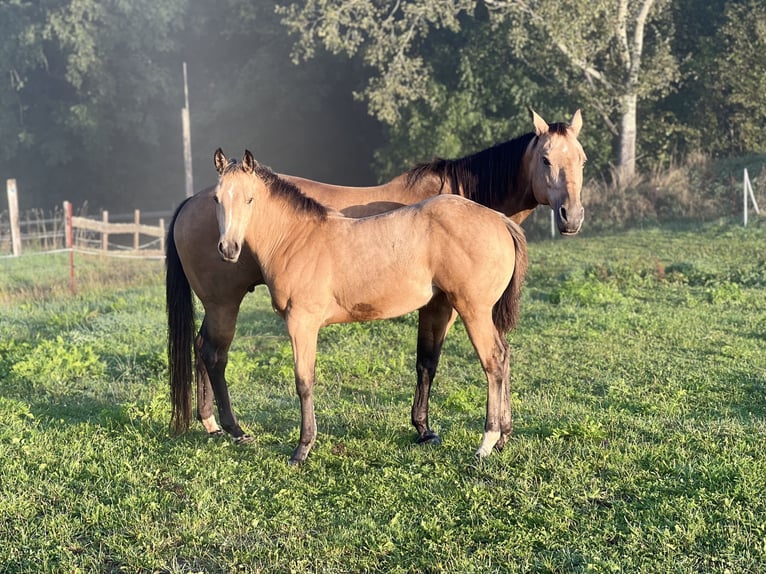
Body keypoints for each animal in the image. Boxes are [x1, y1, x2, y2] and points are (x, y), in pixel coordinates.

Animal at [170, 109, 588, 450]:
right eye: (546, 159)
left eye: (581, 159)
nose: (571, 217)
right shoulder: (436, 307)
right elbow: (424, 363)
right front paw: (424, 428)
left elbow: (423, 363)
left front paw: (422, 429)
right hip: (223, 302)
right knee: (211, 352)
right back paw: (225, 427)